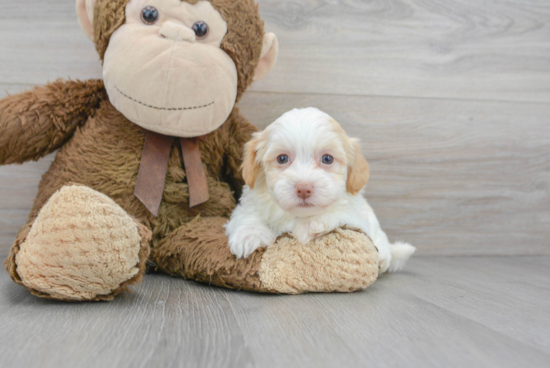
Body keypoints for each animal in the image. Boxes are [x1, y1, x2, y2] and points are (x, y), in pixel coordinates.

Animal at [226, 108, 416, 272]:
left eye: (327, 159)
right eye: (282, 158)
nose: (304, 189)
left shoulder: (355, 216)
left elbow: (337, 213)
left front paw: (309, 226)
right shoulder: (249, 204)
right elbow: (247, 216)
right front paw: (249, 237)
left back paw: (383, 257)